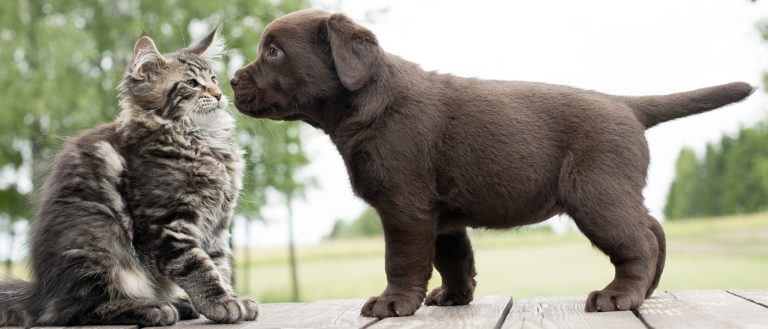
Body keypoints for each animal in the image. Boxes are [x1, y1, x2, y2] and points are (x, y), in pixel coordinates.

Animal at [0, 28, 258, 326]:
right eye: (192, 83)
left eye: (213, 79)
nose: (219, 94)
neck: (202, 140)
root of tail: (40, 294)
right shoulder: (166, 224)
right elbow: (197, 266)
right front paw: (221, 303)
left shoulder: (217, 225)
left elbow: (219, 265)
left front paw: (231, 297)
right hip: (99, 241)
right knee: (78, 311)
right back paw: (151, 307)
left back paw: (178, 303)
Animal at [230, 9, 756, 318]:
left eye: (273, 51)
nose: (231, 80)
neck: (369, 102)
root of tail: (625, 104)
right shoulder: (439, 215)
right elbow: (453, 258)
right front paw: (453, 298)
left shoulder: (403, 207)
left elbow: (402, 260)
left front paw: (393, 303)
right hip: (613, 191)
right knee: (654, 229)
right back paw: (646, 292)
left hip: (595, 194)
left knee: (639, 240)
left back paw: (619, 295)